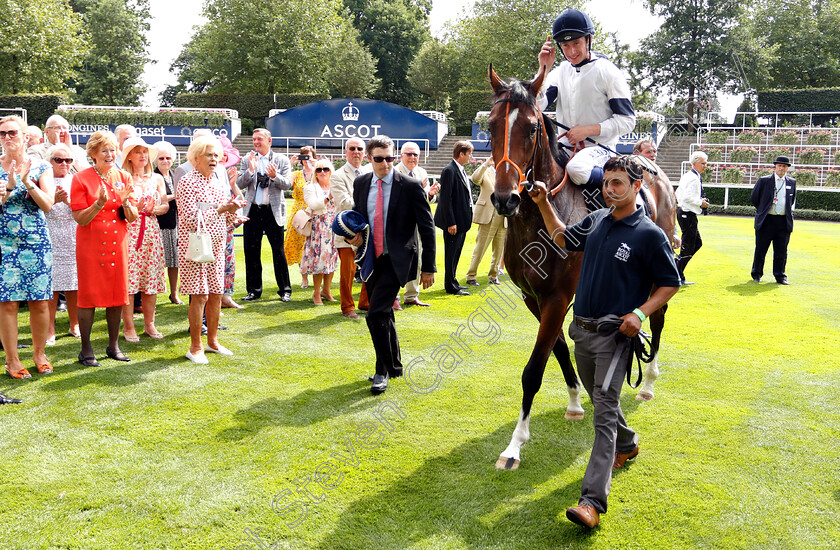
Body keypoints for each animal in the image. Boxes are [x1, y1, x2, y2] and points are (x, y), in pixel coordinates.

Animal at [488, 63, 680, 470]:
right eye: (491, 126)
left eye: (532, 127)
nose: (504, 198)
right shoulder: (535, 298)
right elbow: (559, 350)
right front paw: (577, 402)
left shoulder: (558, 297)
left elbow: (534, 369)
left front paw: (515, 445)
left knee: (658, 318)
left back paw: (649, 382)